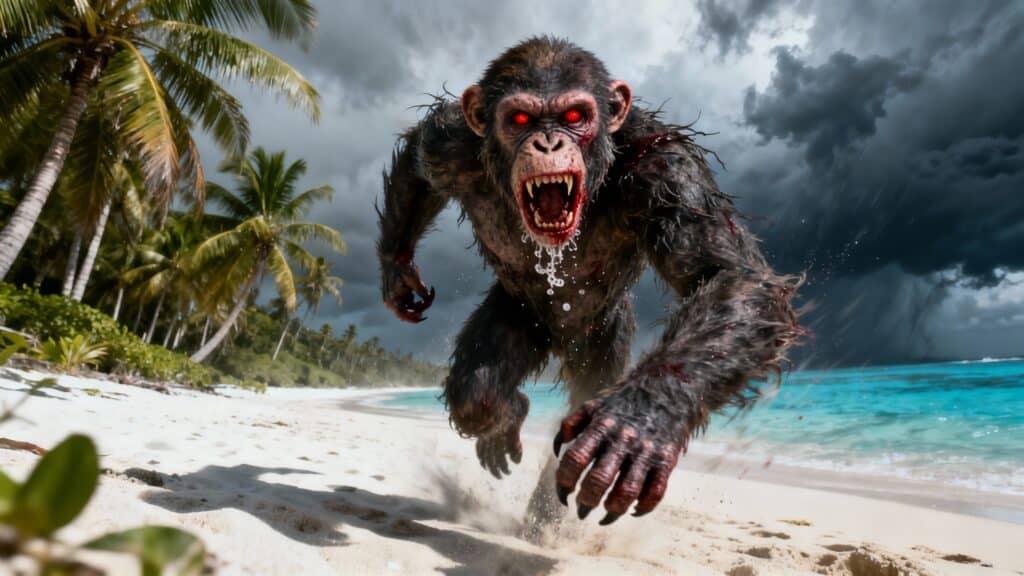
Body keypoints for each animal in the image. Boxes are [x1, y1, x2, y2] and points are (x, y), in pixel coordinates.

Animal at [377, 37, 802, 527]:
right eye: (519, 119)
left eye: (574, 116)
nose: (548, 141)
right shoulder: (450, 147)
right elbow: (417, 163)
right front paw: (397, 270)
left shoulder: (667, 170)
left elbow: (727, 276)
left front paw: (639, 421)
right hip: (519, 314)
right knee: (476, 391)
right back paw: (506, 419)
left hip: (605, 339)